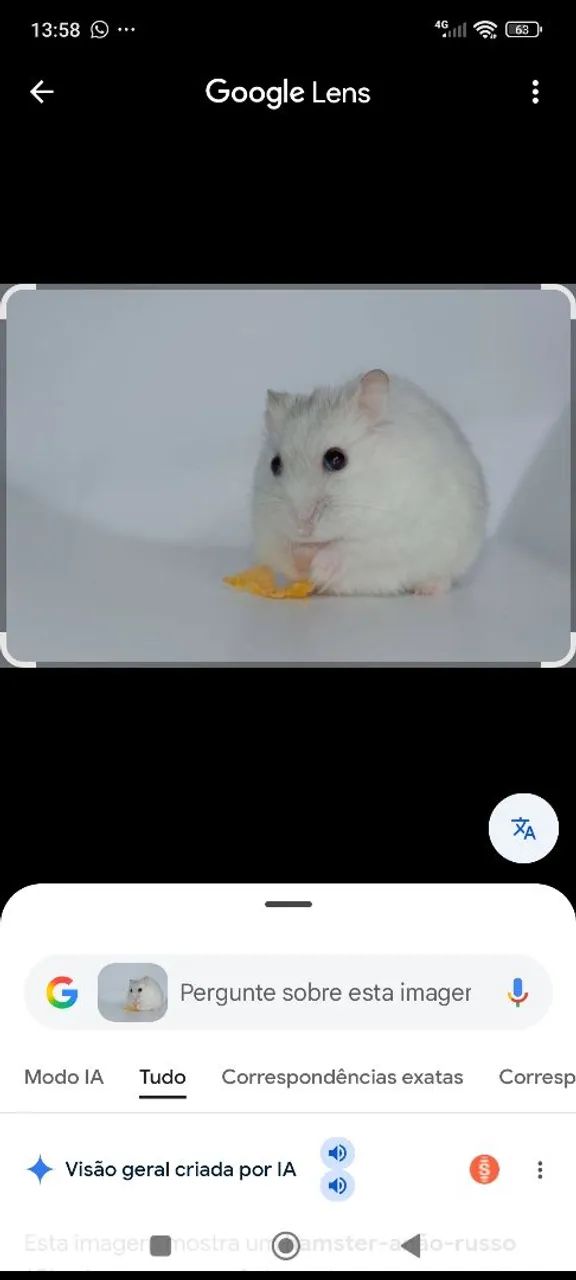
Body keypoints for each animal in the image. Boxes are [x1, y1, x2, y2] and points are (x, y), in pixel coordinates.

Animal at [252, 369, 487, 596]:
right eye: (274, 464)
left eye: (336, 459)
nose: (302, 528)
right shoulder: (269, 534)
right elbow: (282, 552)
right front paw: (300, 561)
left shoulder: (394, 531)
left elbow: (351, 549)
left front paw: (317, 565)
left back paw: (427, 589)